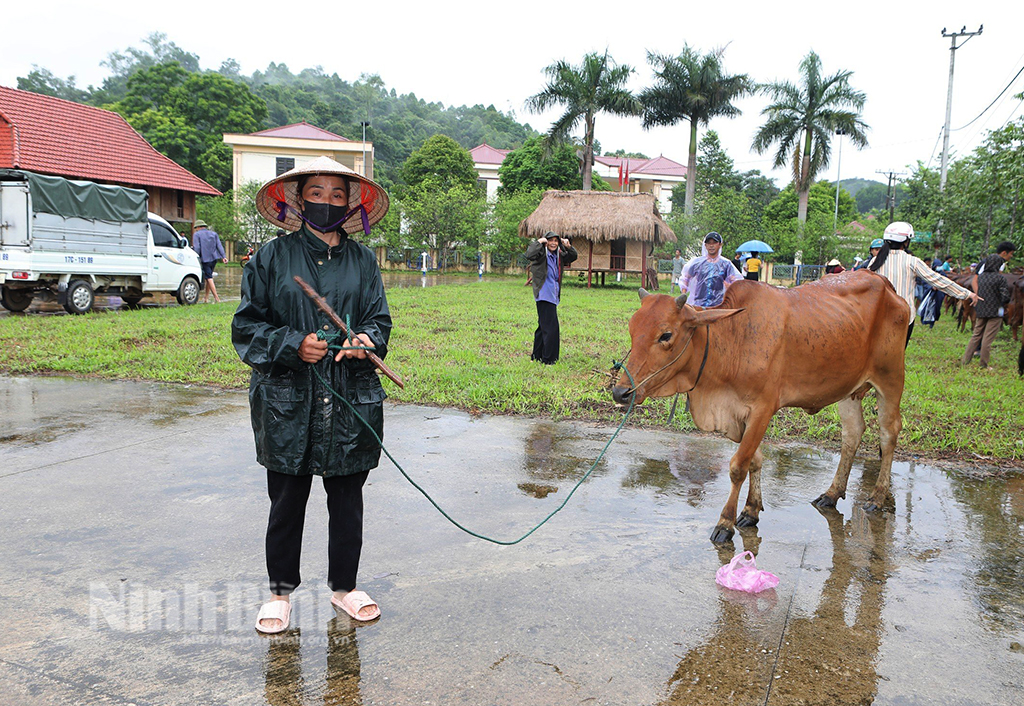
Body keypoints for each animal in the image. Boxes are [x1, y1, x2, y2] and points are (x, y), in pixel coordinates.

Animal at [610, 270, 909, 541]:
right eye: (632, 330)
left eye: (665, 335)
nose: (621, 392)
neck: (733, 339)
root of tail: (885, 283)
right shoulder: (739, 415)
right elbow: (755, 460)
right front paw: (751, 510)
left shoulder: (762, 410)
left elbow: (738, 466)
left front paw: (725, 523)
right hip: (850, 390)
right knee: (852, 434)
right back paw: (832, 494)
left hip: (890, 378)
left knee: (888, 434)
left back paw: (877, 497)